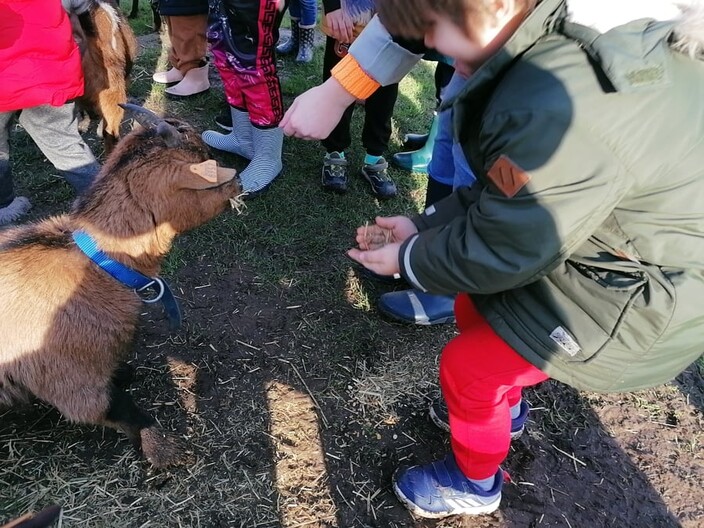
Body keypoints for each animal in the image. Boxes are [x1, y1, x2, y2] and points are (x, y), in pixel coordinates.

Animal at [0, 106, 242, 466]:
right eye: (207, 160)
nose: (240, 182)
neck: (97, 264)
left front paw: (124, 372)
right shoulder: (72, 380)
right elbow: (119, 409)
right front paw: (164, 449)